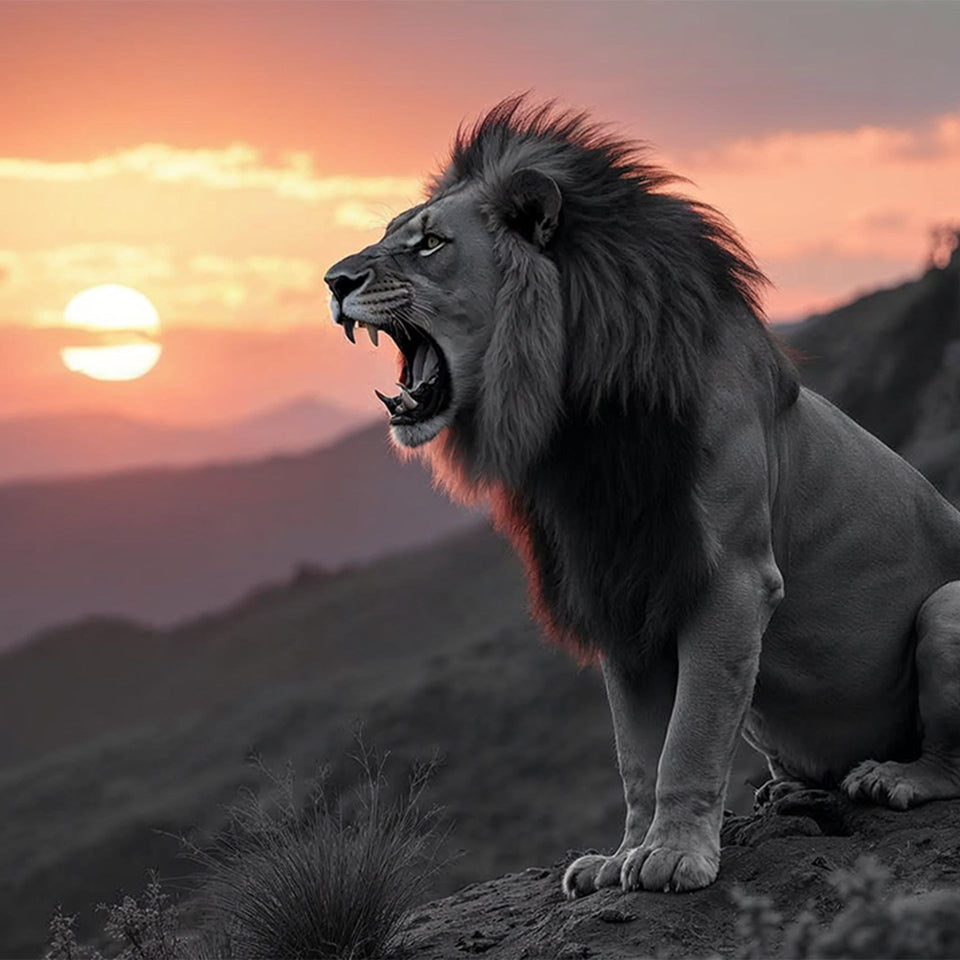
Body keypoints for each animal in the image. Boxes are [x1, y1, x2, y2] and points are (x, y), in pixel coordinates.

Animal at [324, 98, 960, 897]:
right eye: (389, 236)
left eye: (431, 243)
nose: (332, 280)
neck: (572, 424)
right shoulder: (620, 586)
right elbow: (635, 753)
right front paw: (619, 857)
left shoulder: (731, 582)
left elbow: (688, 736)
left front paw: (674, 855)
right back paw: (790, 790)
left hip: (945, 608)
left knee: (948, 764)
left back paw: (893, 778)